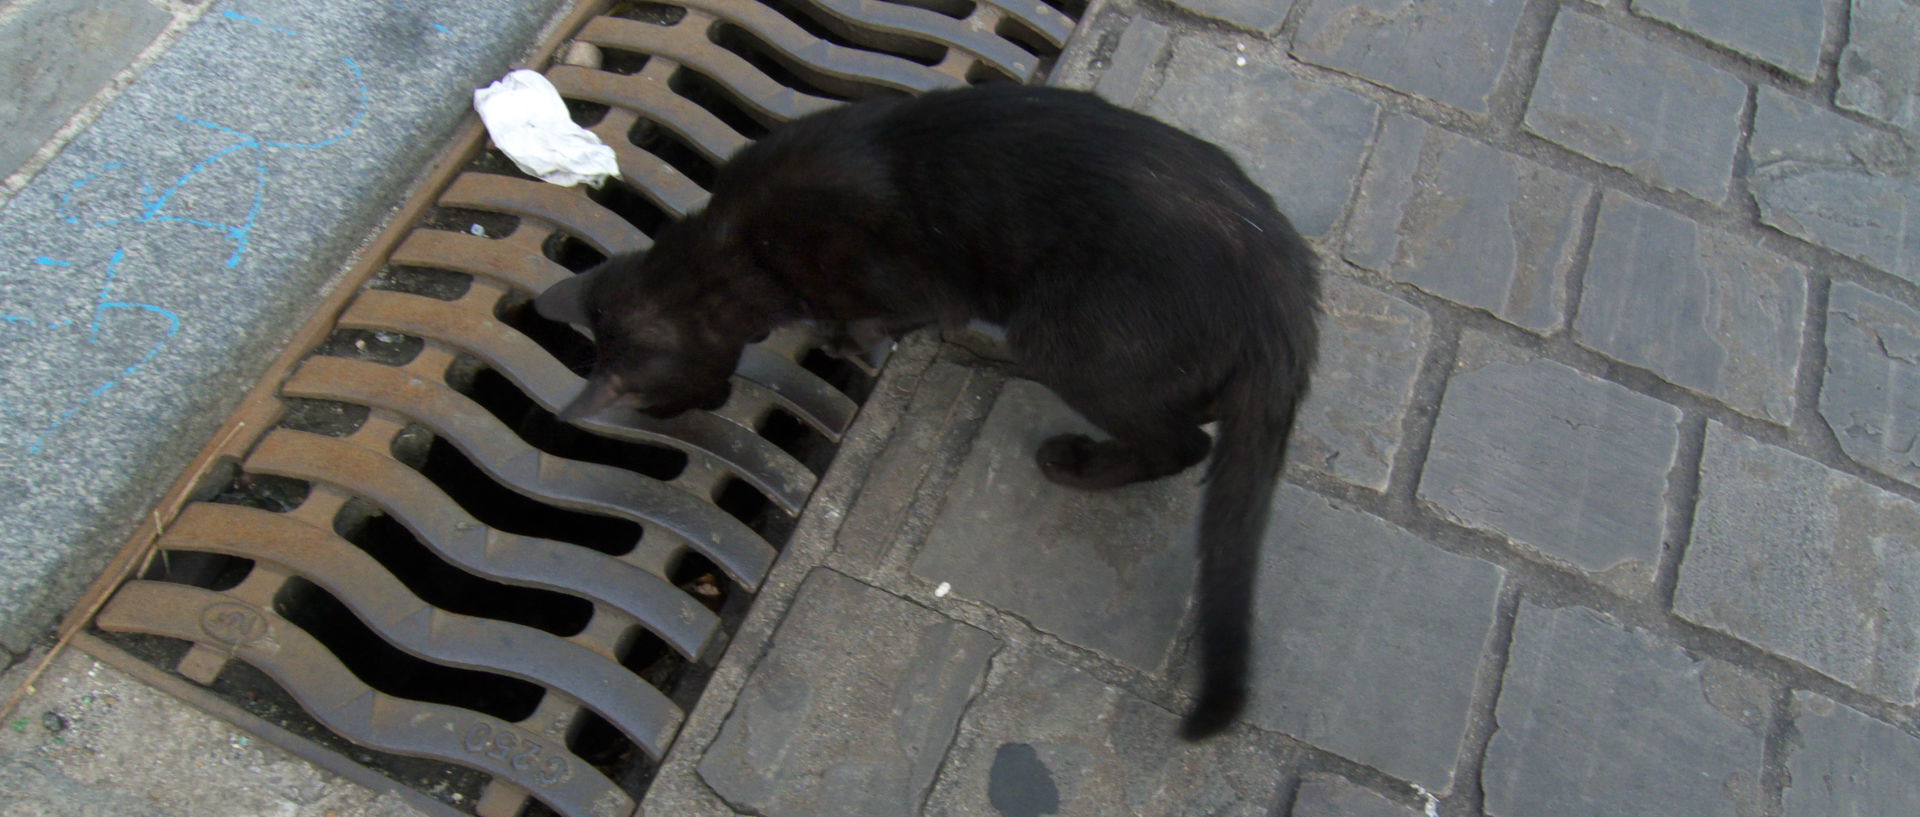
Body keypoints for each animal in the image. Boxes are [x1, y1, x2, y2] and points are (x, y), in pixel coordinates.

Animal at [541, 82, 1320, 740]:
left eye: (665, 403)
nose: (706, 402)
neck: (734, 250)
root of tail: (1281, 302)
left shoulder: (910, 286)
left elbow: (887, 317)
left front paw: (848, 339)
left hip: (1068, 337)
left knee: (1183, 444)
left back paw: (1076, 462)